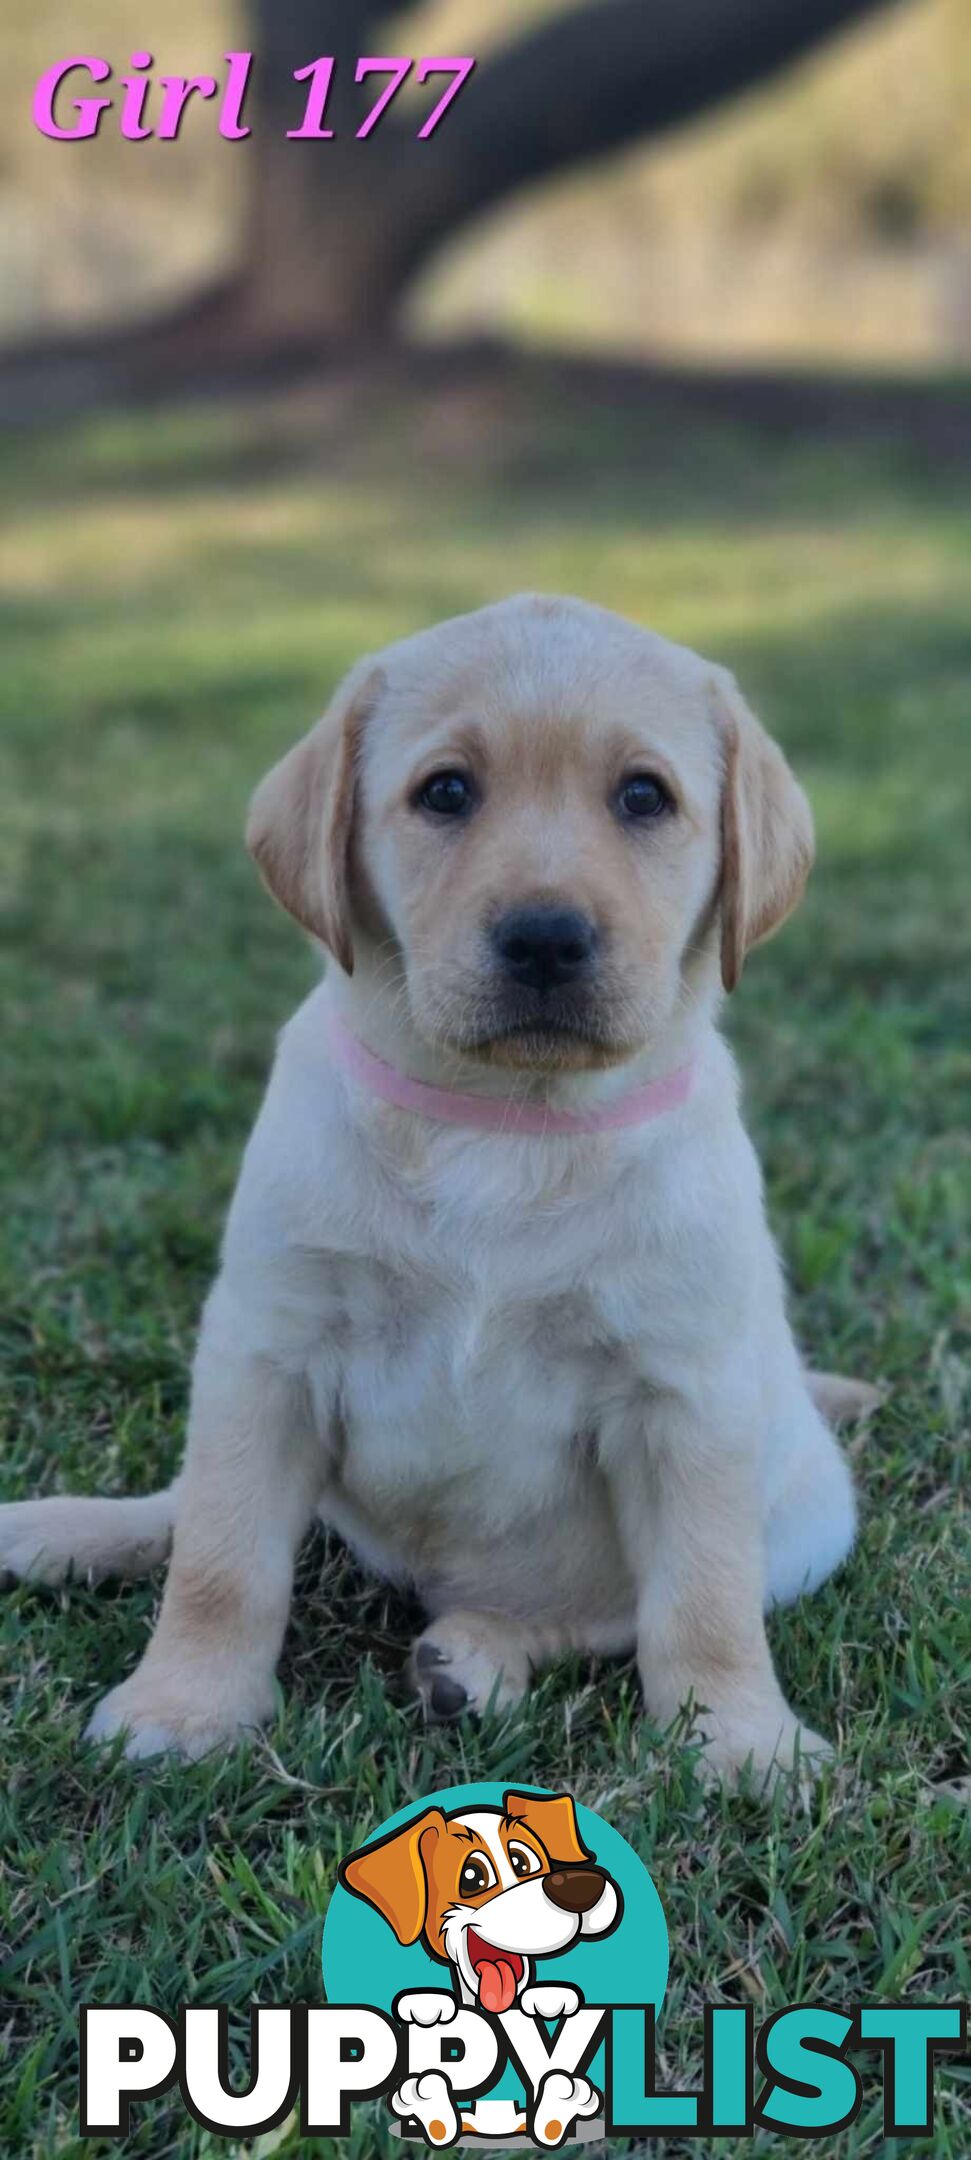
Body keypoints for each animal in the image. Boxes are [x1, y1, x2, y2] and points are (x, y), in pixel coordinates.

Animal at [1, 591, 880, 1771]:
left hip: (806, 1525)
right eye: (446, 791)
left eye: (643, 797)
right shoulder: (265, 1352)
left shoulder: (683, 1396)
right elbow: (224, 1560)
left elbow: (700, 1598)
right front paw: (182, 1707)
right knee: (188, 1505)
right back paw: (64, 1531)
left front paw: (742, 1744)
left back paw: (476, 1656)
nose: (545, 938)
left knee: (598, 1616)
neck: (504, 1124)